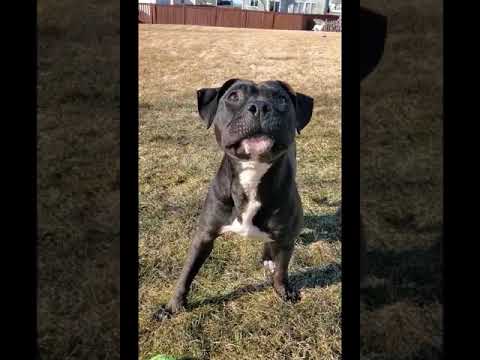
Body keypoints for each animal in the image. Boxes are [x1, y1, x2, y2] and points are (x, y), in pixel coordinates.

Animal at [155, 78, 316, 318]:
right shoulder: (204, 236)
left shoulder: (286, 238)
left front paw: (283, 291)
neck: (252, 171)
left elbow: (282, 269)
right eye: (233, 96)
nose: (260, 107)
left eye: (281, 99)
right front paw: (173, 306)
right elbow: (187, 272)